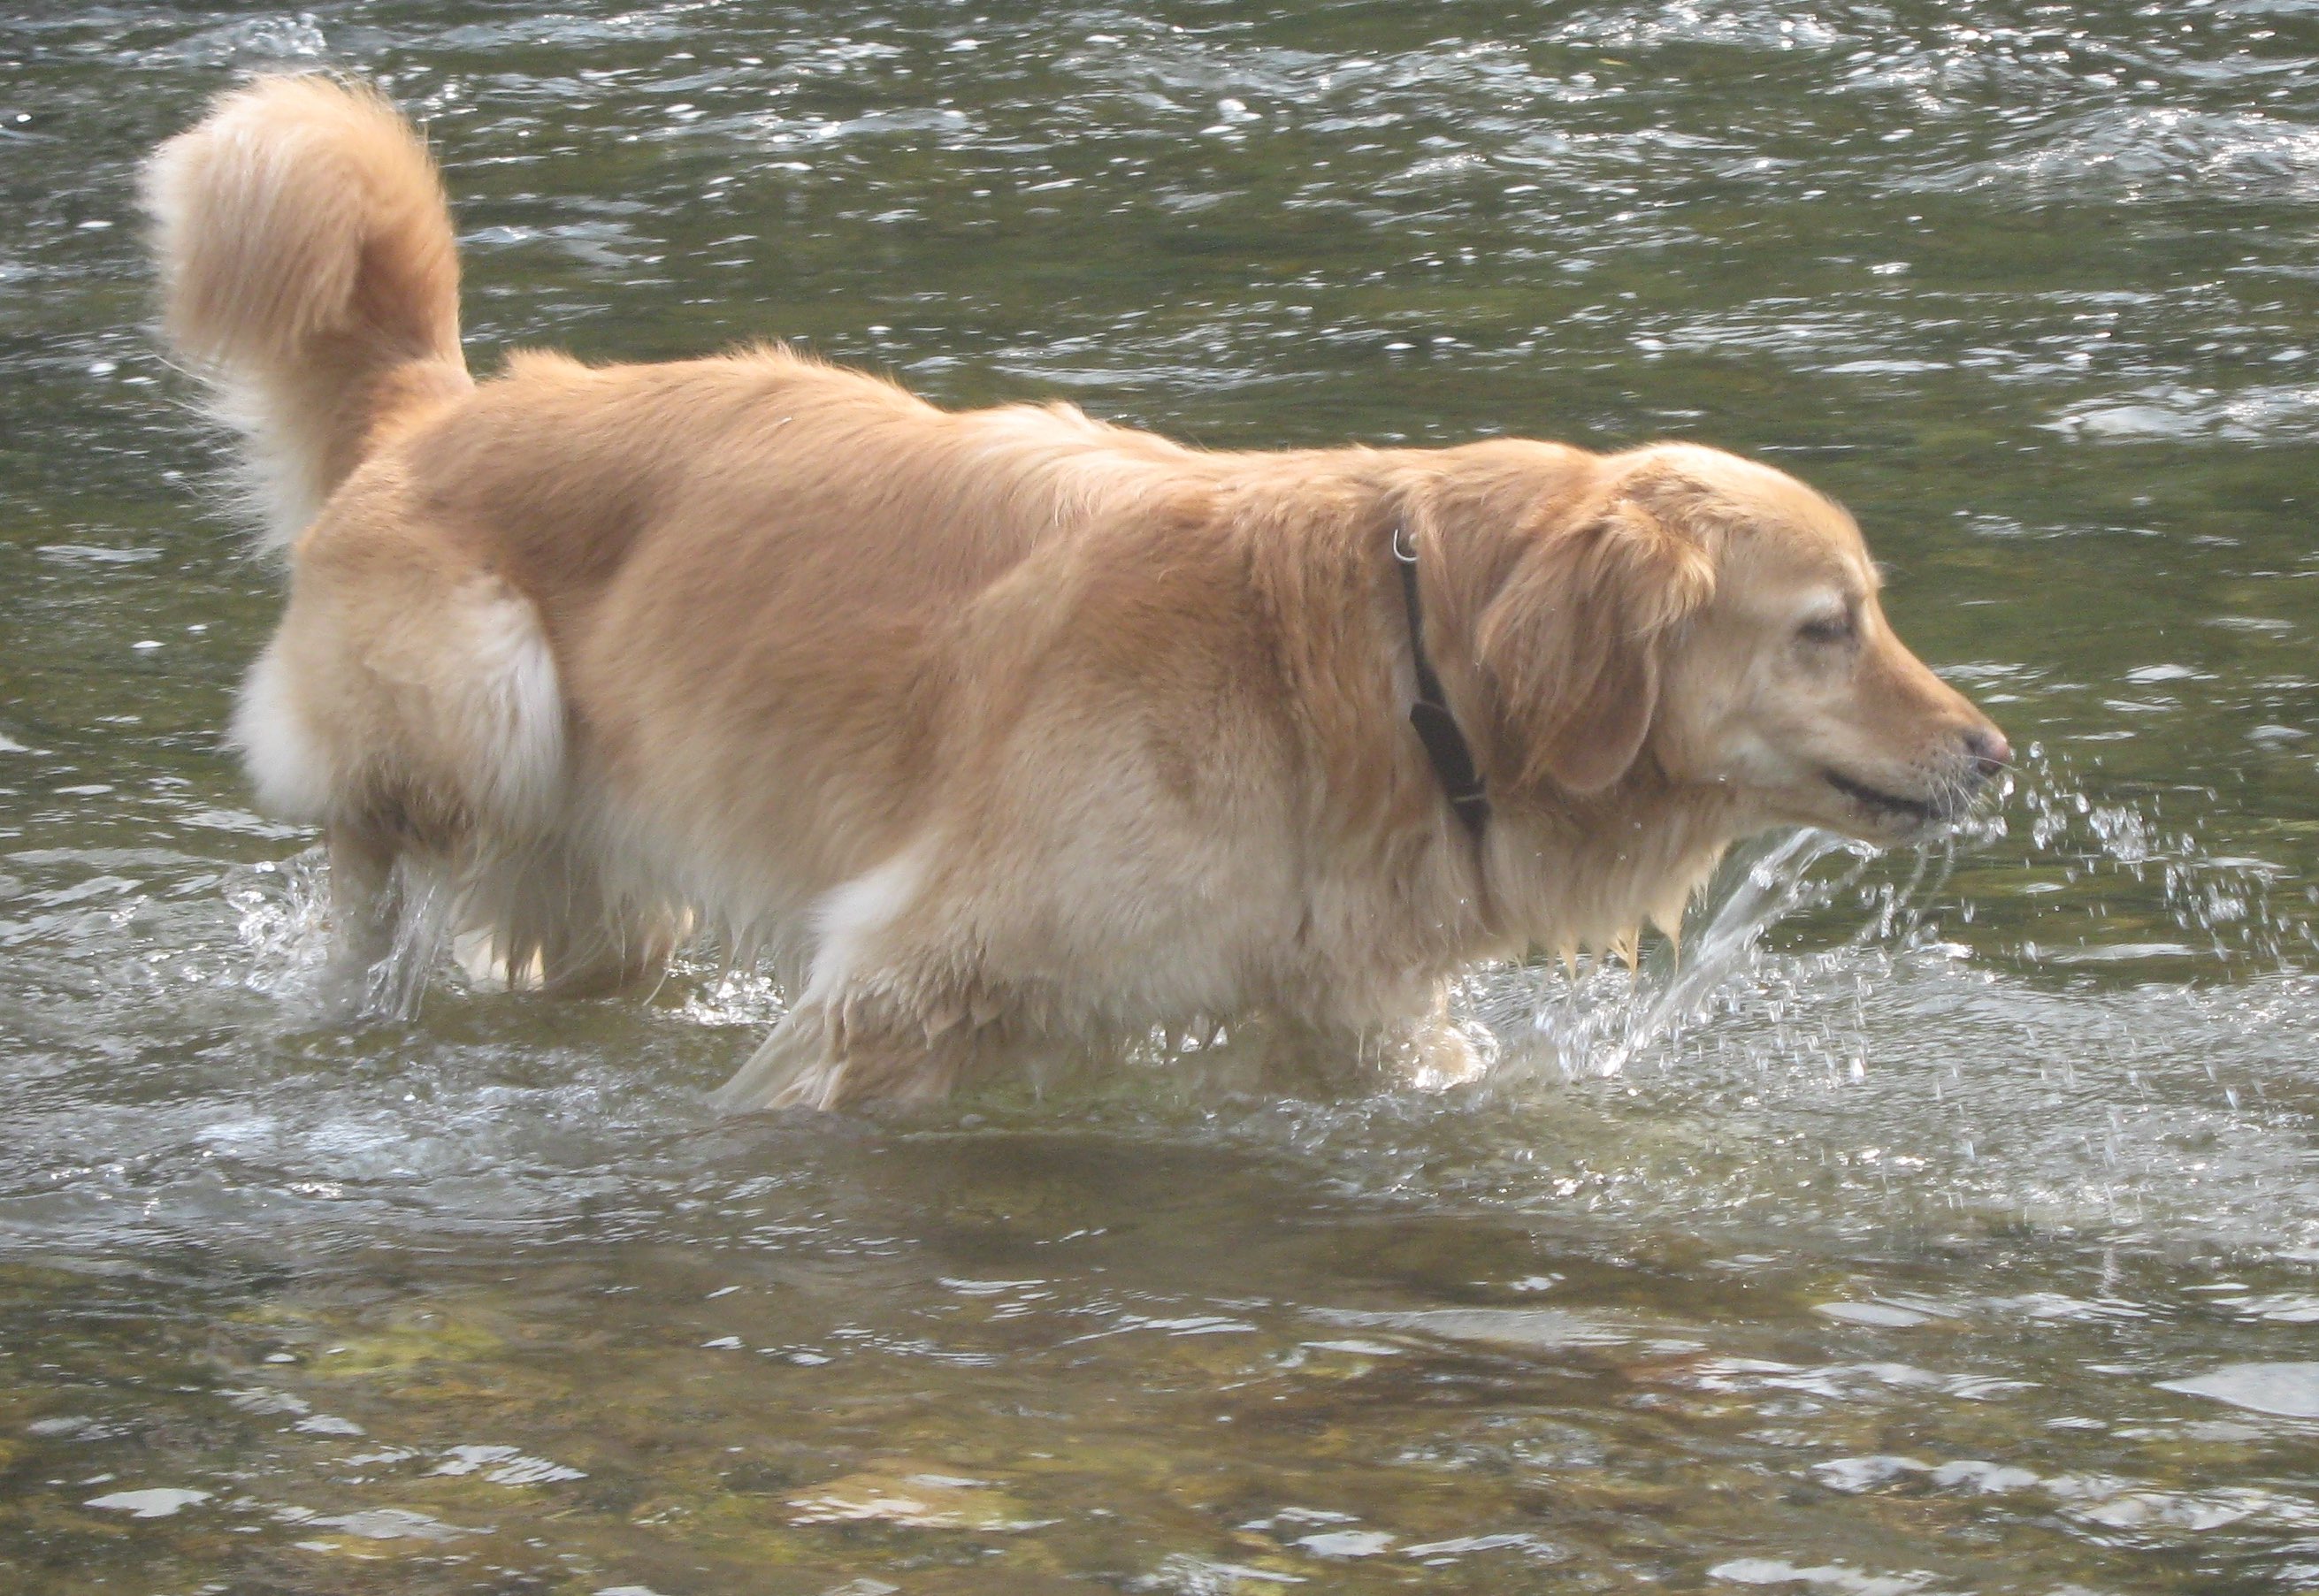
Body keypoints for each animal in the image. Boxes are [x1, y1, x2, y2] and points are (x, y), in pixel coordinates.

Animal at [144, 77, 2003, 1109]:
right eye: (1827, 628)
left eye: (1870, 608)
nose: (1991, 756)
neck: (1379, 667)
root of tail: (438, 407)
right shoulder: (901, 982)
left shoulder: (1359, 1020)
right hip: (483, 717)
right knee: (375, 872)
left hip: (605, 891)